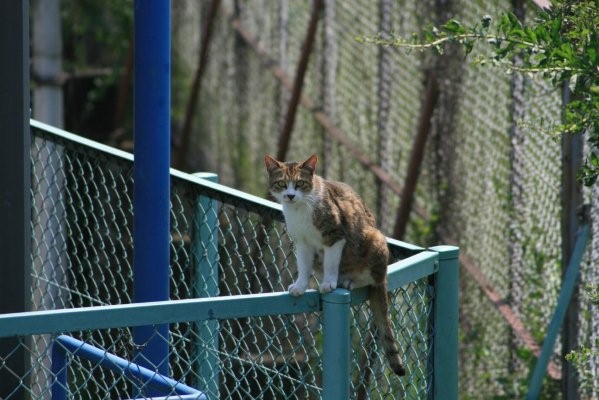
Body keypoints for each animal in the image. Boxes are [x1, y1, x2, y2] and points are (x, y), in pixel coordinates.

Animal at [264, 153, 406, 376]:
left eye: (300, 183)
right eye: (281, 183)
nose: (290, 196)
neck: (300, 209)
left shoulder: (335, 235)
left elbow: (331, 262)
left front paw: (329, 284)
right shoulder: (302, 242)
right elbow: (303, 266)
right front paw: (300, 286)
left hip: (375, 240)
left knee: (369, 278)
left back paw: (347, 281)